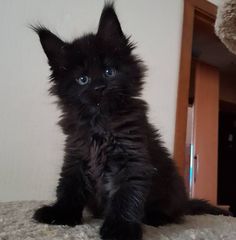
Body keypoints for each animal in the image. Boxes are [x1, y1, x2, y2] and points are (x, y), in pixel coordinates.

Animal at [32, 3, 230, 240]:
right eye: (83, 79)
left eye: (109, 71)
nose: (99, 87)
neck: (101, 125)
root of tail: (184, 201)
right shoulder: (76, 156)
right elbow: (69, 188)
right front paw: (60, 213)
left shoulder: (132, 159)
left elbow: (126, 197)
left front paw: (121, 228)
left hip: (171, 185)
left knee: (175, 213)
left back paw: (156, 218)